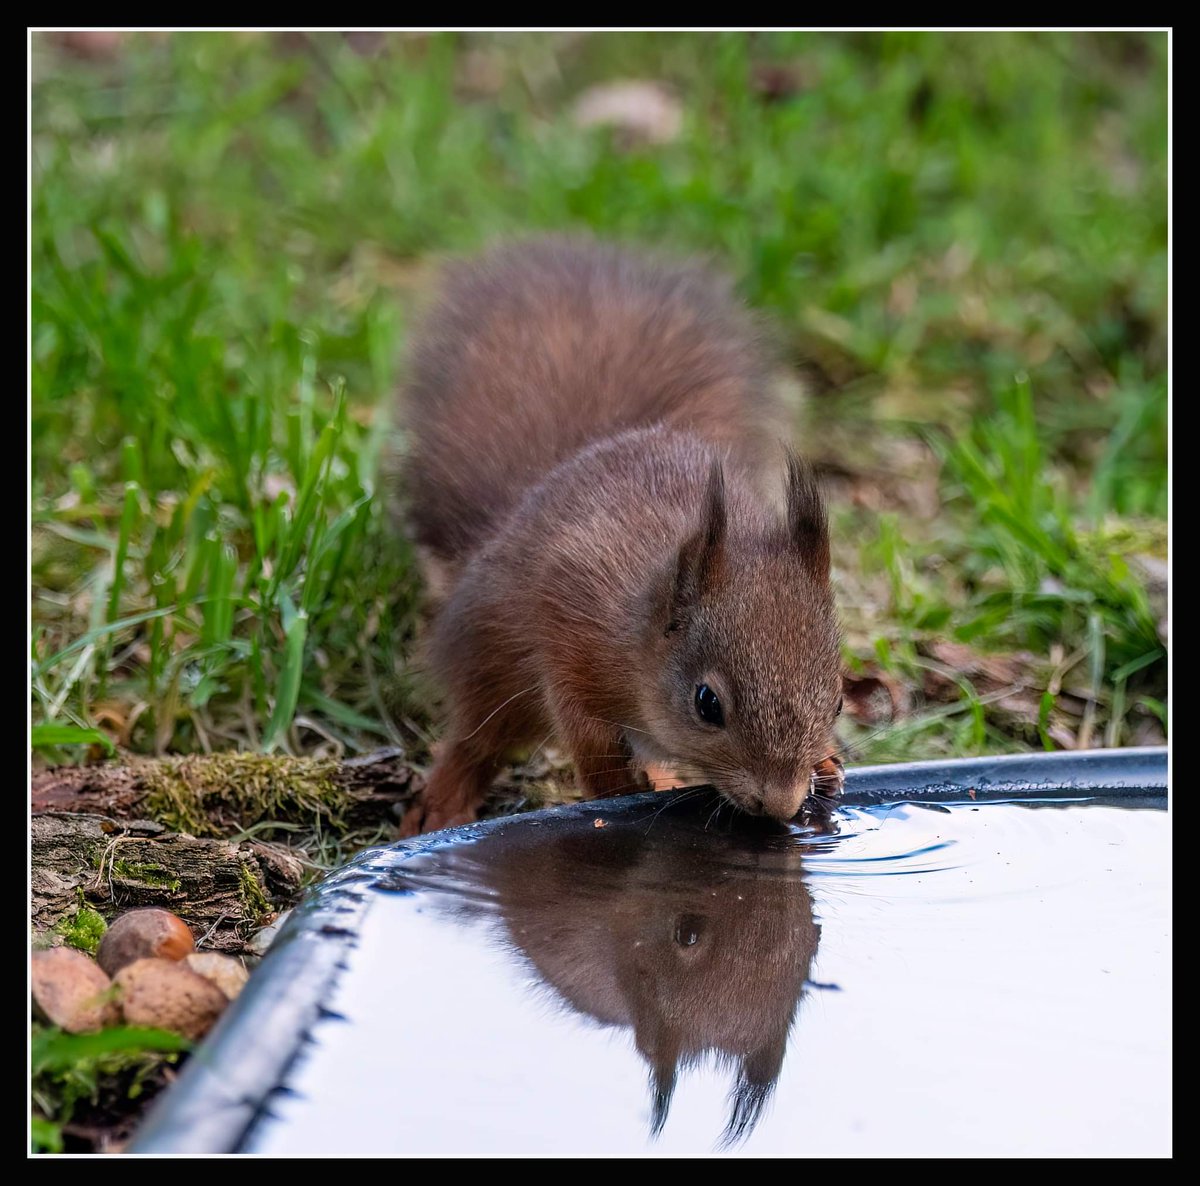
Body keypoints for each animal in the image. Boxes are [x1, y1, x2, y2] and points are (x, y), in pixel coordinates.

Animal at [397, 236, 844, 836]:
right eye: (707, 704)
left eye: (839, 702)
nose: (780, 805)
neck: (643, 628)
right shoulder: (570, 626)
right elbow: (582, 728)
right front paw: (614, 790)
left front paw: (828, 765)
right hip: (489, 658)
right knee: (476, 740)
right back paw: (443, 804)